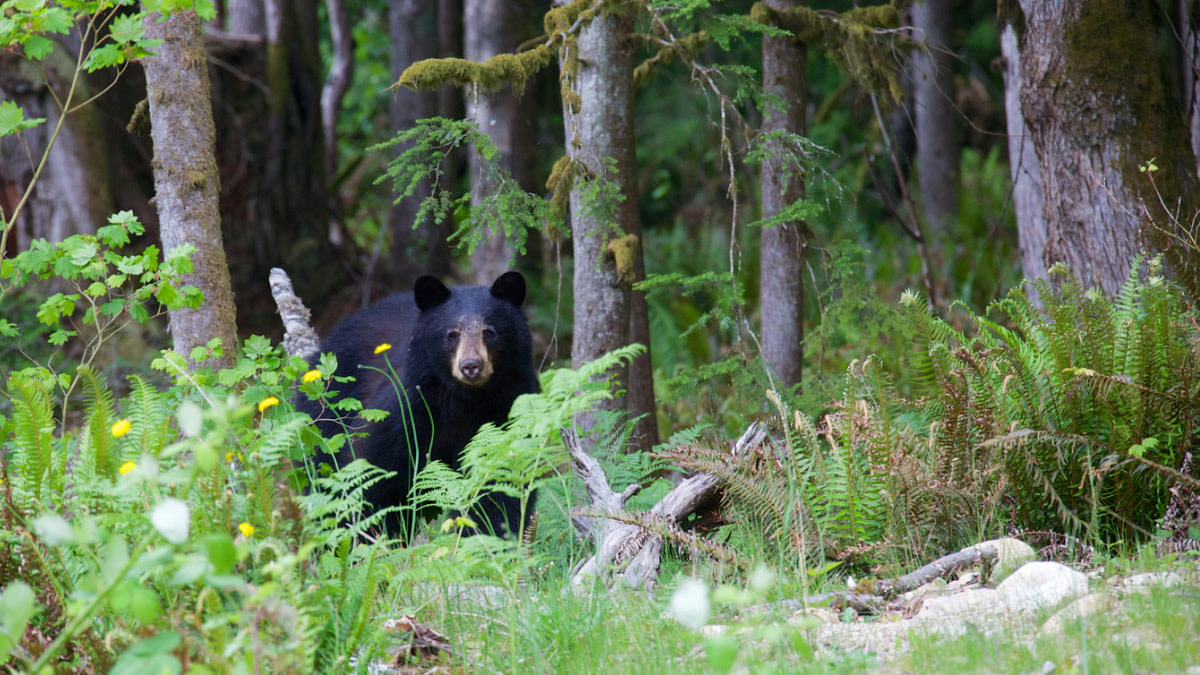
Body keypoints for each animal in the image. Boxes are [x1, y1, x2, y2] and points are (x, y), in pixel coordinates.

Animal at [297, 270, 542, 538]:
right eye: (452, 334)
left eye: (489, 332)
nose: (470, 365)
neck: (464, 400)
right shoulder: (408, 412)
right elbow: (370, 472)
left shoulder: (507, 408)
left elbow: (498, 481)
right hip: (330, 405)